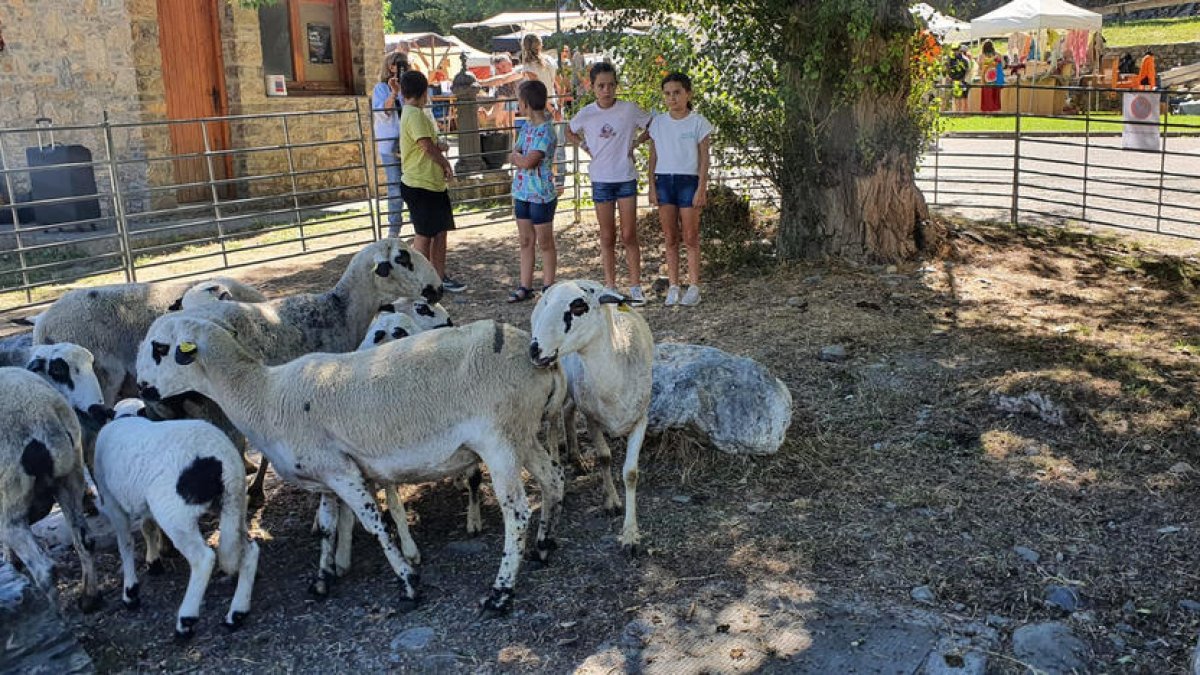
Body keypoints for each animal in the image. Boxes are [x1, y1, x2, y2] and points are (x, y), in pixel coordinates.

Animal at [0, 367, 100, 610]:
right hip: (70, 476)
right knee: (84, 539)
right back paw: (89, 597)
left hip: (12, 489)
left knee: (42, 566)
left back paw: (56, 611)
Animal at [95, 398, 260, 634]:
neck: (126, 416)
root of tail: (221, 460)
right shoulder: (144, 503)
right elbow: (147, 526)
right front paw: (153, 561)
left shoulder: (111, 500)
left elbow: (125, 544)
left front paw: (130, 592)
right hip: (233, 502)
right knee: (249, 549)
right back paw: (237, 613)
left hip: (175, 513)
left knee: (203, 559)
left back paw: (186, 620)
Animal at [133, 312, 564, 612]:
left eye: (160, 348)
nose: (142, 388)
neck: (263, 395)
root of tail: (539, 359)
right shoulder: (324, 474)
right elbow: (327, 527)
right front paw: (323, 579)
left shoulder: (343, 471)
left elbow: (376, 524)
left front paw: (409, 582)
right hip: (522, 433)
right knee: (553, 480)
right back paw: (544, 547)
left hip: (499, 439)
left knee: (516, 513)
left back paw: (501, 592)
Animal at [528, 278, 652, 552]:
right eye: (547, 304)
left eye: (578, 307)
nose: (533, 350)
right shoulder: (592, 418)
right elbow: (604, 457)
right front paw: (611, 502)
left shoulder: (641, 419)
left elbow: (631, 473)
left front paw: (630, 534)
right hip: (558, 377)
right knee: (554, 423)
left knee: (567, 412)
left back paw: (576, 456)